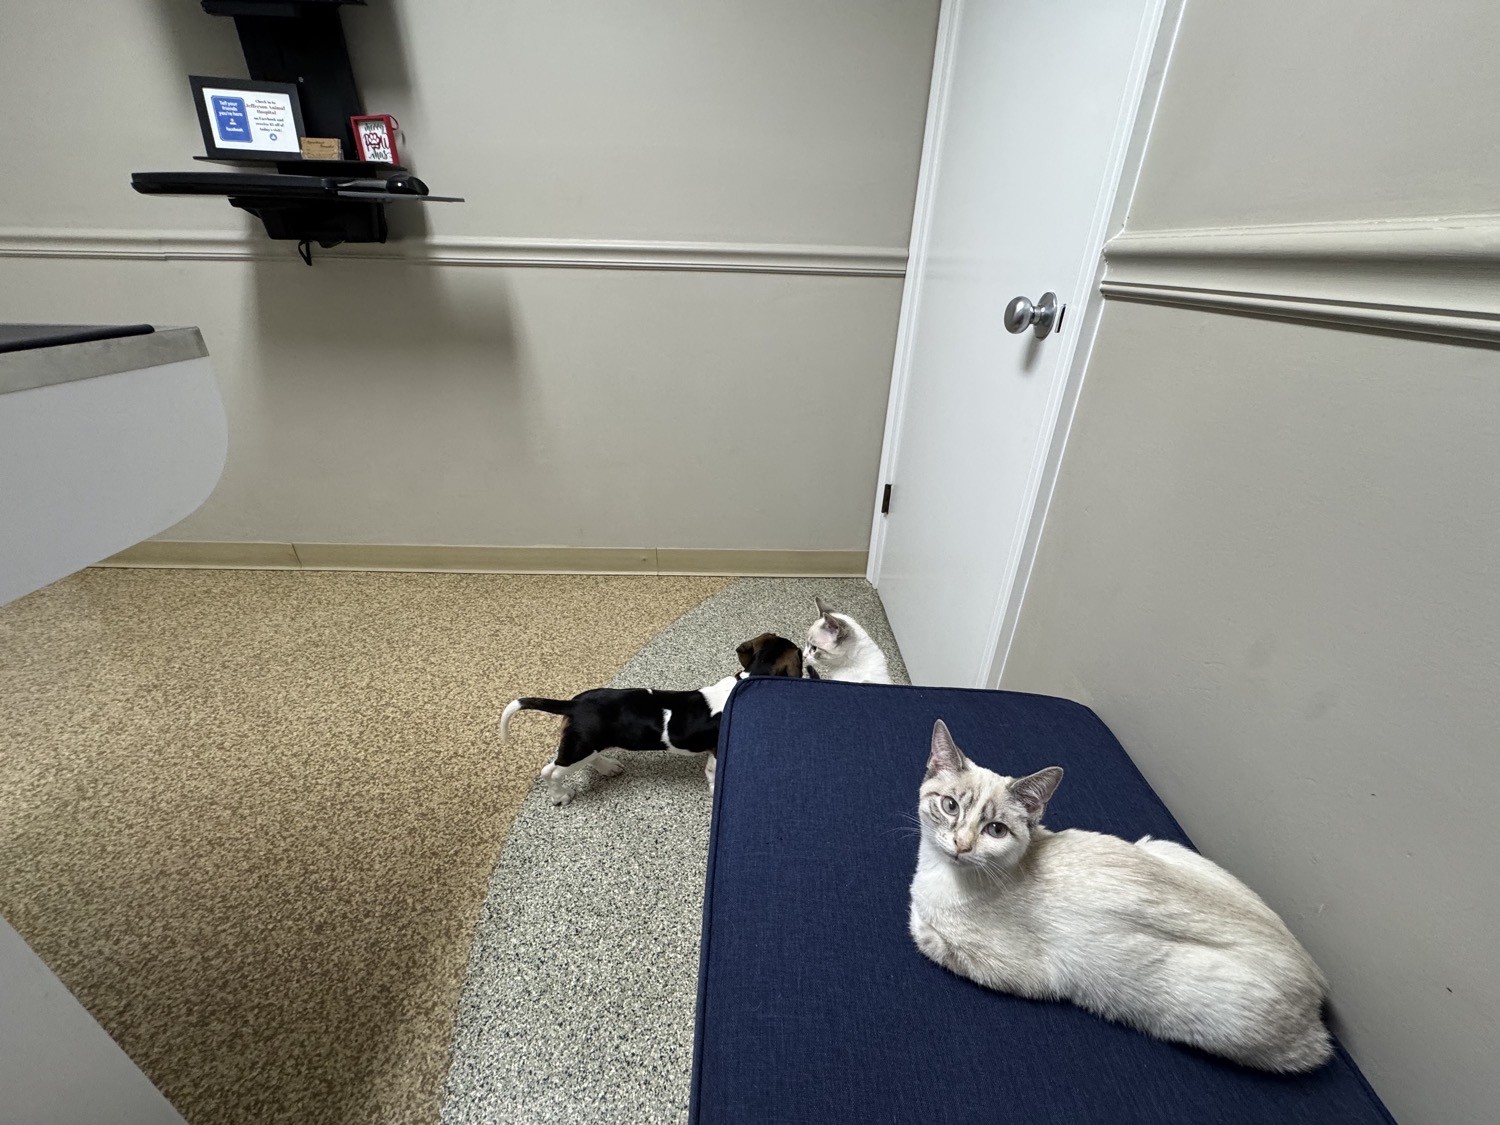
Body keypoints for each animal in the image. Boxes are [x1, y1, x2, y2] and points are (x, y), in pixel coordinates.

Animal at [500, 633, 803, 805]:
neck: (748, 678)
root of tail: (574, 704)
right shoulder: (718, 753)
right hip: (580, 747)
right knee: (550, 771)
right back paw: (560, 796)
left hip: (586, 744)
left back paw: (608, 767)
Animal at [908, 719, 1332, 1072]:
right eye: (950, 806)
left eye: (995, 829)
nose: (961, 845)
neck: (939, 873)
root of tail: (1317, 985)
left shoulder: (1023, 974)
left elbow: (924, 932)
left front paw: (917, 914)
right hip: (1162, 845)